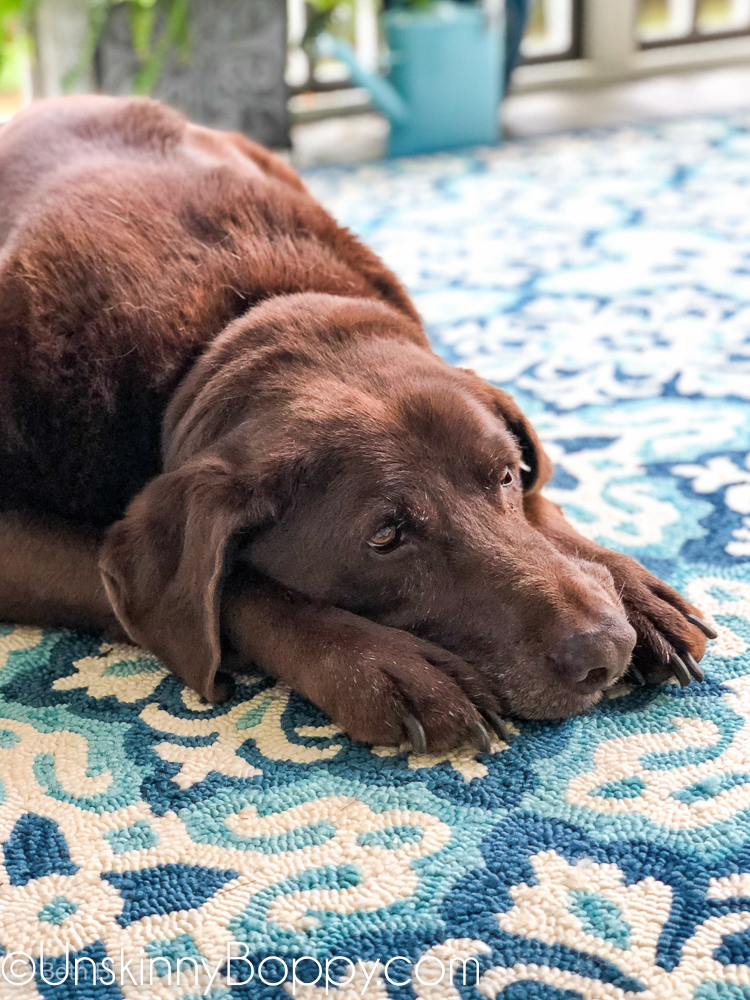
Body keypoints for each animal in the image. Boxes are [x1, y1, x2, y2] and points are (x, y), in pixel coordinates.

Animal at [0, 95, 712, 752]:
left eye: (506, 476)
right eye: (385, 537)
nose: (605, 649)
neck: (225, 325)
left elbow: (545, 511)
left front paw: (630, 588)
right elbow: (240, 589)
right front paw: (379, 666)